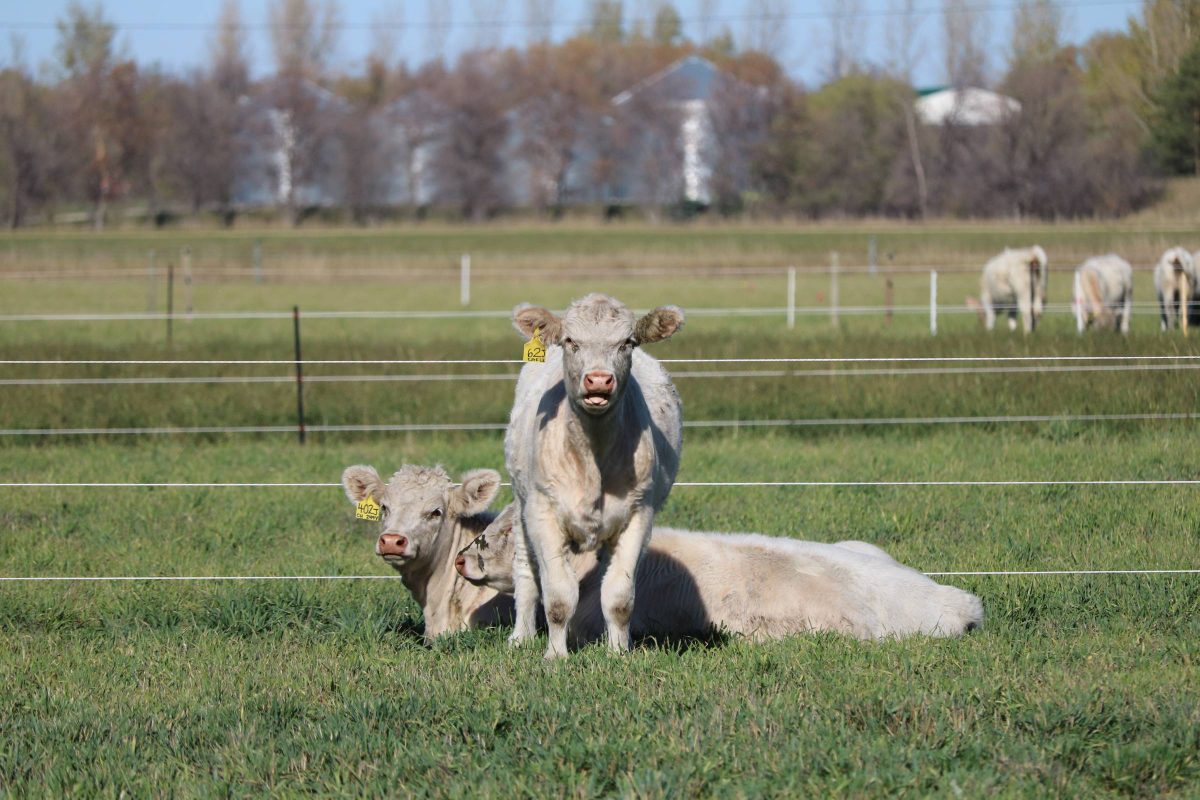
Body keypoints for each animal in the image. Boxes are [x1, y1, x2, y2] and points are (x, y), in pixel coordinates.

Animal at [505, 293, 684, 658]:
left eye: (627, 342)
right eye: (571, 341)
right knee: (526, 570)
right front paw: (555, 655)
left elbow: (618, 595)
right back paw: (521, 635)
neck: (592, 456)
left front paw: (618, 651)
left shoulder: (639, 514)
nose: (599, 380)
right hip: (520, 502)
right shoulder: (542, 511)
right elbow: (558, 595)